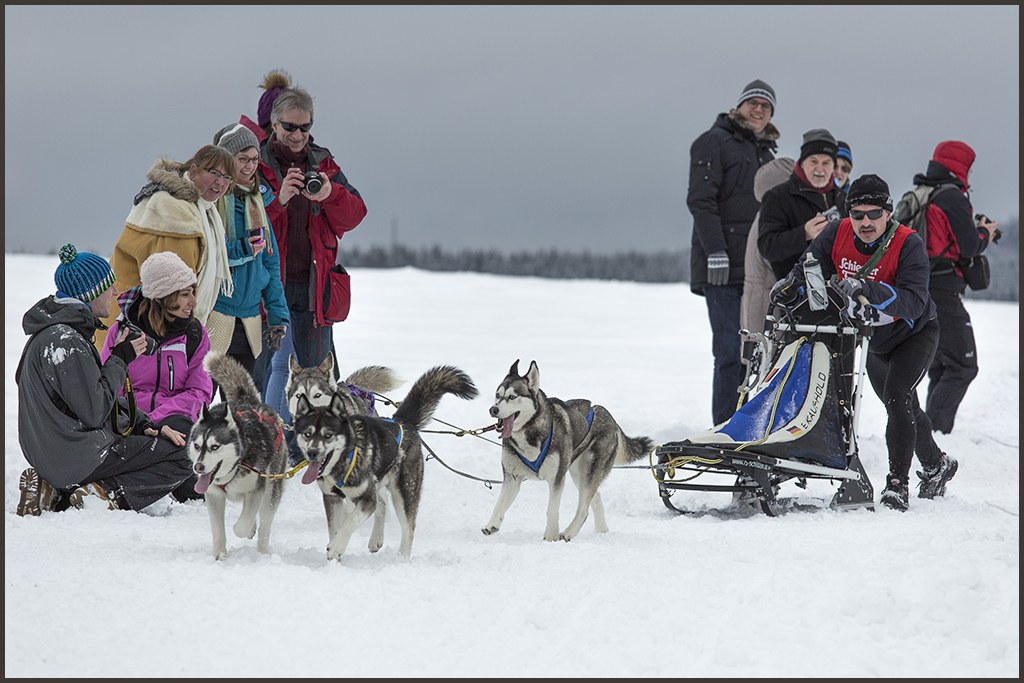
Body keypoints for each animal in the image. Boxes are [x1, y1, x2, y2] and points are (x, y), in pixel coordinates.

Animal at [189, 352, 290, 561]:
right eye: (197, 446)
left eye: (215, 446)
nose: (198, 467)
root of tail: (250, 402)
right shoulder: (214, 494)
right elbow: (218, 530)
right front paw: (219, 556)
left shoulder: (256, 488)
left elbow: (241, 526)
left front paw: (242, 529)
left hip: (271, 488)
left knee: (265, 522)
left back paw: (262, 551)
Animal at [292, 366, 475, 557]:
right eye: (307, 434)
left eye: (328, 435)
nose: (313, 453)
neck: (345, 459)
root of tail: (403, 422)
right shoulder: (332, 498)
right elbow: (334, 528)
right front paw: (335, 555)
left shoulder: (366, 500)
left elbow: (350, 522)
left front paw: (337, 545)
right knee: (383, 505)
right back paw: (376, 540)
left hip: (403, 493)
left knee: (408, 526)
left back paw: (402, 557)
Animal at [483, 360, 651, 540]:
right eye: (497, 395)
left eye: (512, 397)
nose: (493, 409)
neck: (530, 432)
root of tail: (607, 414)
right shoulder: (512, 478)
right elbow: (499, 504)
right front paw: (492, 525)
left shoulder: (557, 478)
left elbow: (552, 510)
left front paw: (550, 536)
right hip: (578, 474)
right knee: (595, 498)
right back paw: (602, 531)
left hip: (589, 470)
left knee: (584, 510)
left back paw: (568, 533)